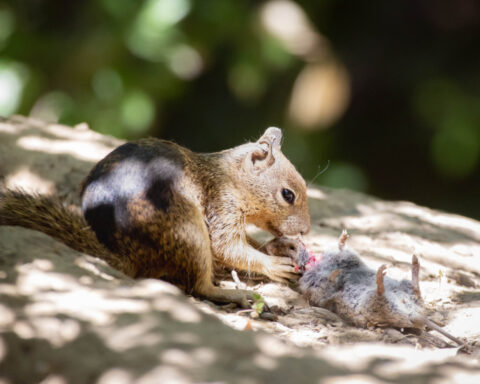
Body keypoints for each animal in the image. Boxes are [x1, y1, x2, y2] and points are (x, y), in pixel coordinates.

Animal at [0, 127, 312, 308]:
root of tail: (129, 256)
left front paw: (281, 246)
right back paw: (233, 294)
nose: (307, 230)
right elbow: (227, 248)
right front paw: (273, 264)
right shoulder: (222, 205)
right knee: (199, 286)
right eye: (288, 194)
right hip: (189, 231)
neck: (229, 177)